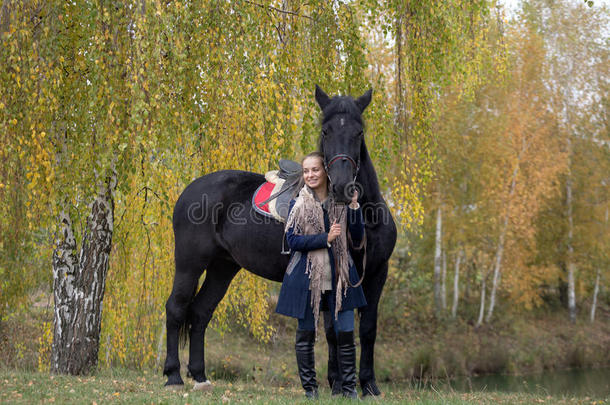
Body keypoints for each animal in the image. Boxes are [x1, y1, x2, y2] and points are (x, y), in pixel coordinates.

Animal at [164, 84, 396, 394]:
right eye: (325, 131)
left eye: (359, 131)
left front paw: (368, 385)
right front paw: (337, 384)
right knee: (176, 308)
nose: (342, 187)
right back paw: (173, 375)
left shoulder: (376, 273)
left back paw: (200, 376)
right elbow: (333, 331)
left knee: (201, 312)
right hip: (190, 263)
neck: (365, 219)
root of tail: (189, 190)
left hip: (223, 267)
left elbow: (368, 328)